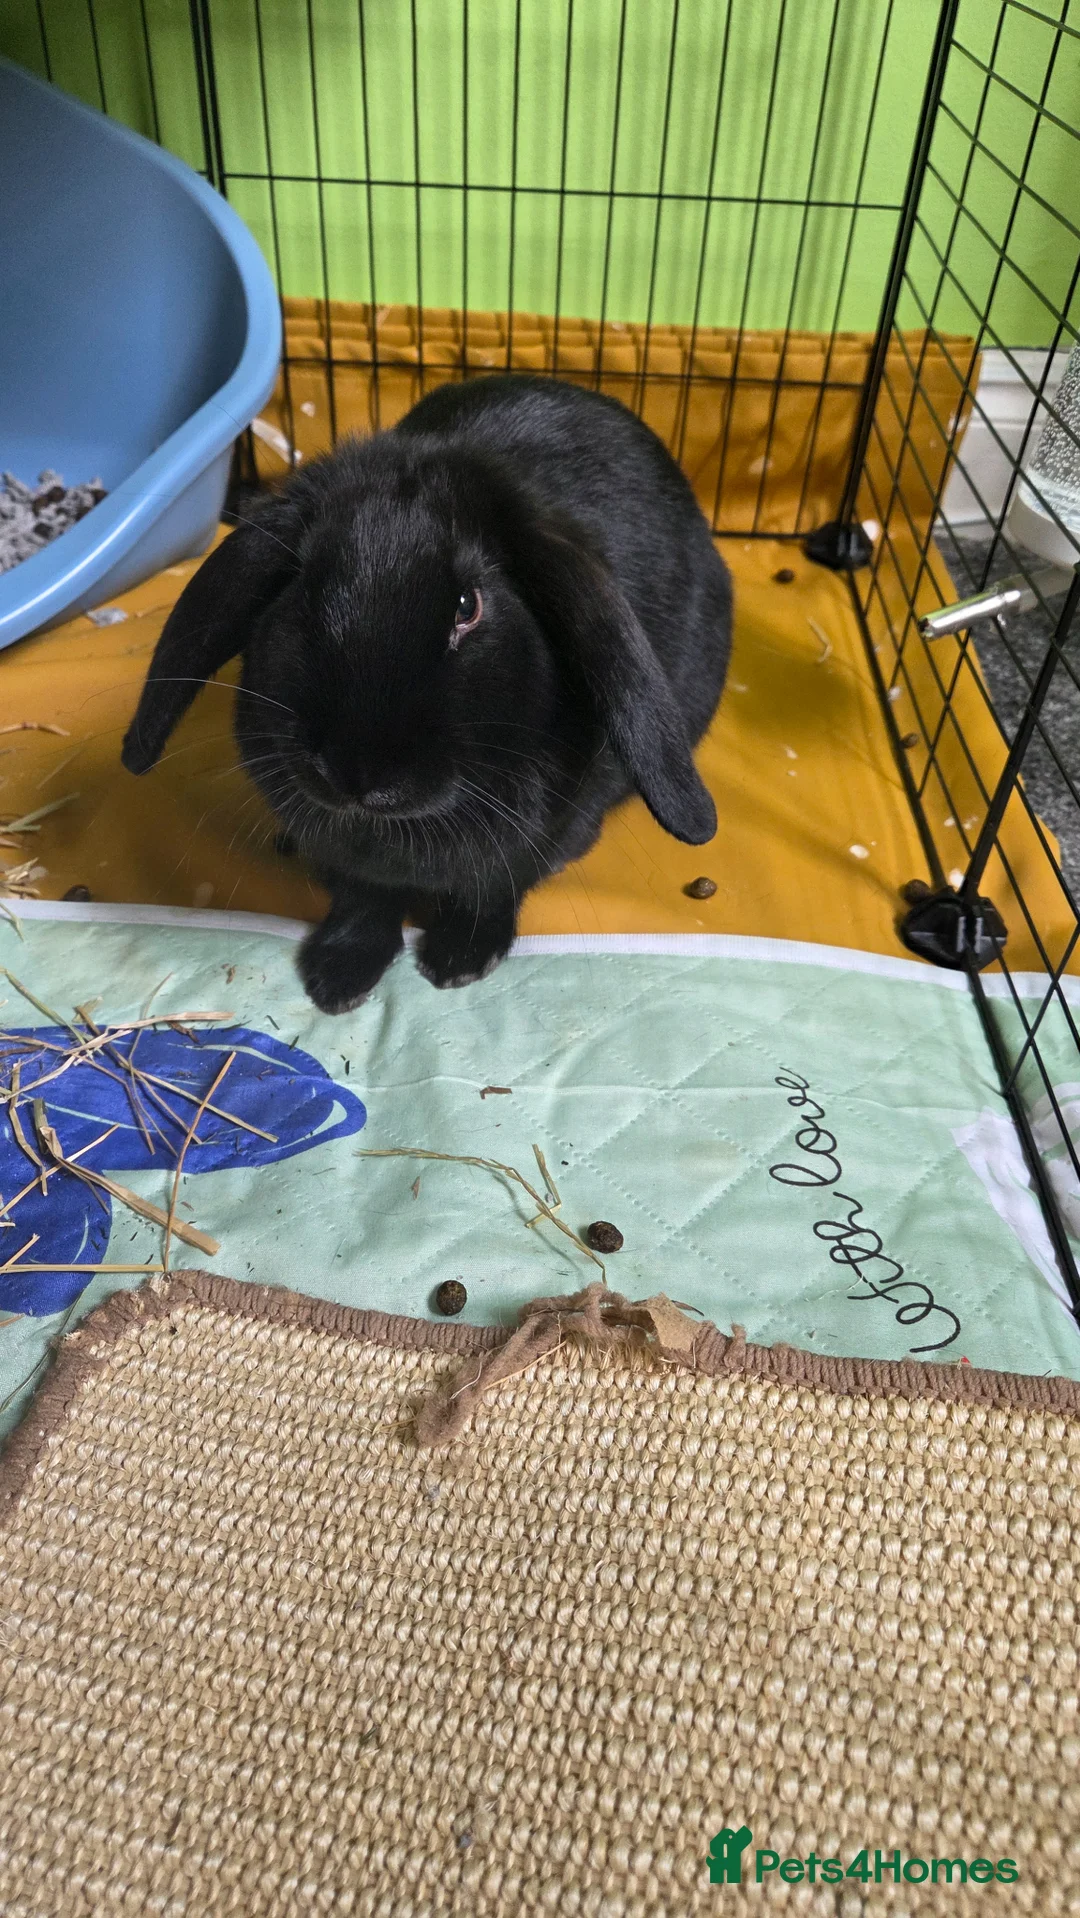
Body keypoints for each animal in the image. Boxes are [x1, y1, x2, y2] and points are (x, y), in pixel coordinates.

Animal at [122, 374, 732, 1014]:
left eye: (468, 606)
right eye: (302, 589)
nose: (356, 775)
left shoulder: (541, 839)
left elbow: (493, 886)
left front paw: (460, 962)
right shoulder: (352, 866)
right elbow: (364, 898)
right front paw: (337, 977)